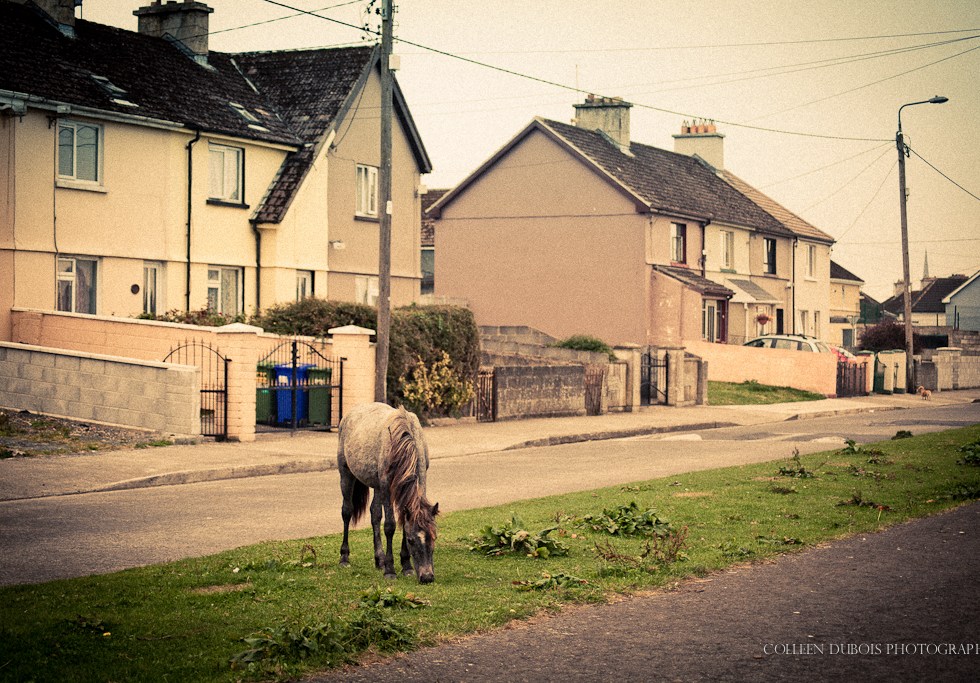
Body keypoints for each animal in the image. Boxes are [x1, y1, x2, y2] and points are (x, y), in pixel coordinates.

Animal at [337, 402, 439, 583]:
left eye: (433, 537)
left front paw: (406, 566)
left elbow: (402, 522)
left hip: (376, 485)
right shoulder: (386, 486)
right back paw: (345, 558)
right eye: (411, 541)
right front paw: (390, 570)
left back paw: (380, 559)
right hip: (346, 473)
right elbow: (390, 526)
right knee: (347, 512)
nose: (427, 576)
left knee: (375, 514)